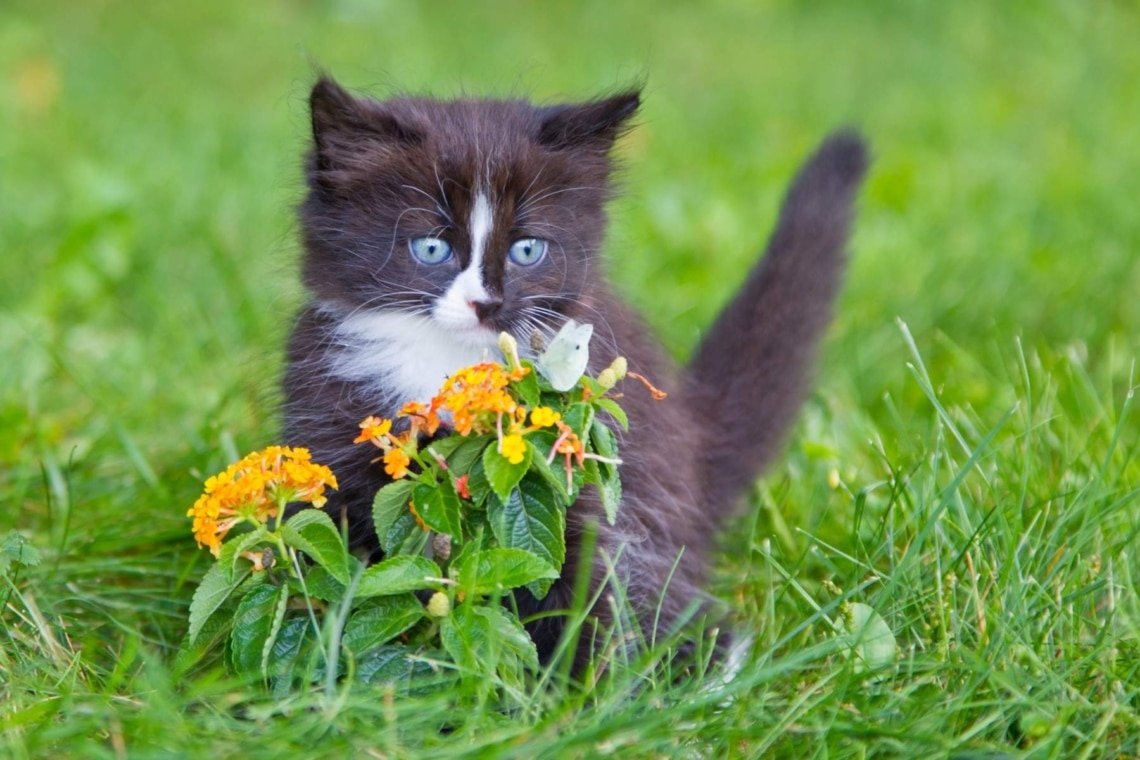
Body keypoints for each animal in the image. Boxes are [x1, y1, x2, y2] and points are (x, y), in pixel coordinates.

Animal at [280, 77, 866, 665]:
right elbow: (325, 549)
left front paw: (578, 685)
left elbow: (590, 578)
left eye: (527, 249)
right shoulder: (330, 416)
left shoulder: (591, 469)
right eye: (430, 247)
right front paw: (317, 656)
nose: (486, 304)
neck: (453, 364)